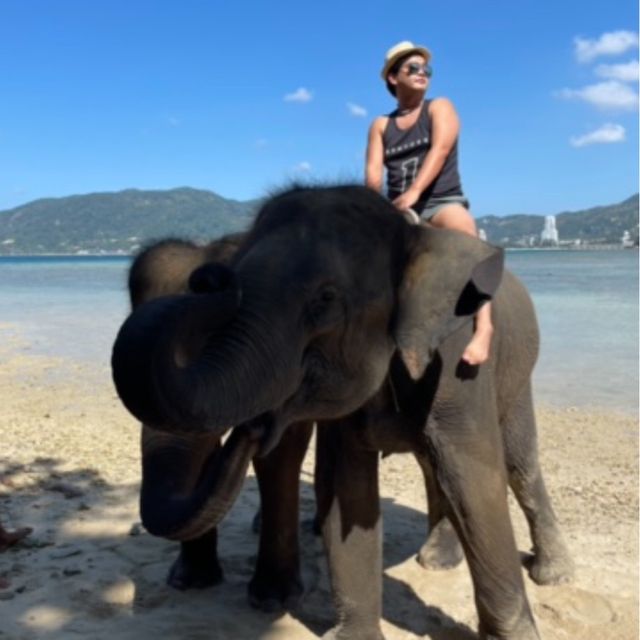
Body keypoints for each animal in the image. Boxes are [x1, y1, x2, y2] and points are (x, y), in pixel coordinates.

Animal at [112, 185, 572, 640]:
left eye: (326, 299)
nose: (208, 278)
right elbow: (348, 488)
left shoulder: (455, 363)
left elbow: (475, 480)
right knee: (431, 465)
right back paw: (434, 557)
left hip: (516, 371)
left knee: (517, 463)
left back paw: (550, 574)